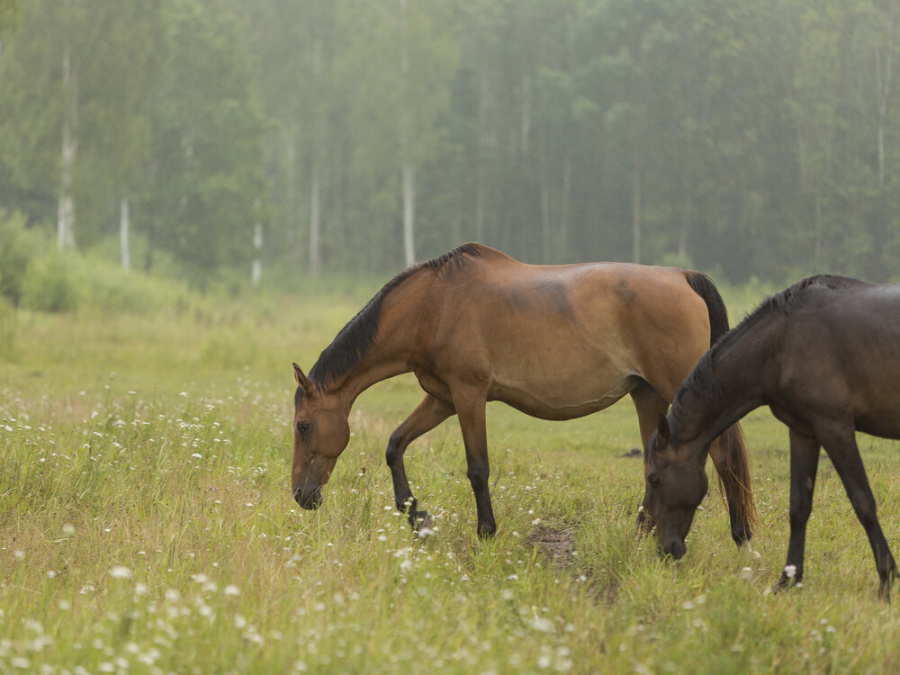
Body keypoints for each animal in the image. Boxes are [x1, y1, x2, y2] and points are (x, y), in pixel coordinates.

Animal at [294, 243, 752, 544]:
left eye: (303, 426)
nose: (301, 495)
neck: (433, 304)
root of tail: (682, 277)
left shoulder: (468, 395)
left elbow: (478, 468)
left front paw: (486, 531)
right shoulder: (442, 398)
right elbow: (394, 445)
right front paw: (416, 514)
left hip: (677, 387)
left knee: (723, 456)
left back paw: (741, 536)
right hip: (647, 395)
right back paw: (643, 534)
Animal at [644, 274, 900, 604]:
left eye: (654, 479)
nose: (664, 549)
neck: (783, 342)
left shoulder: (835, 428)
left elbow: (863, 502)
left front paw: (885, 581)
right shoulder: (804, 431)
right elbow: (799, 506)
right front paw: (788, 580)